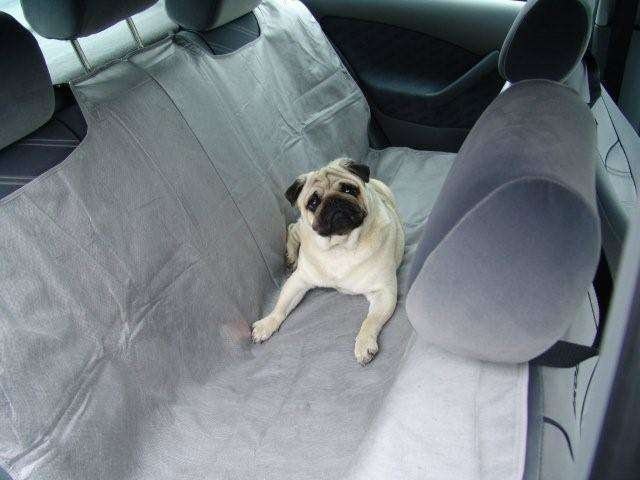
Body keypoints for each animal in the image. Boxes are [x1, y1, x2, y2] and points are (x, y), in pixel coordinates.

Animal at [251, 158, 404, 365]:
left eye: (349, 189)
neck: (340, 246)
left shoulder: (383, 291)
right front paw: (267, 323)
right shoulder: (299, 280)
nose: (334, 201)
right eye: (313, 202)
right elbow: (280, 306)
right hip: (302, 228)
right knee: (292, 228)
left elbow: (370, 320)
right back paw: (291, 255)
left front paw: (364, 343)